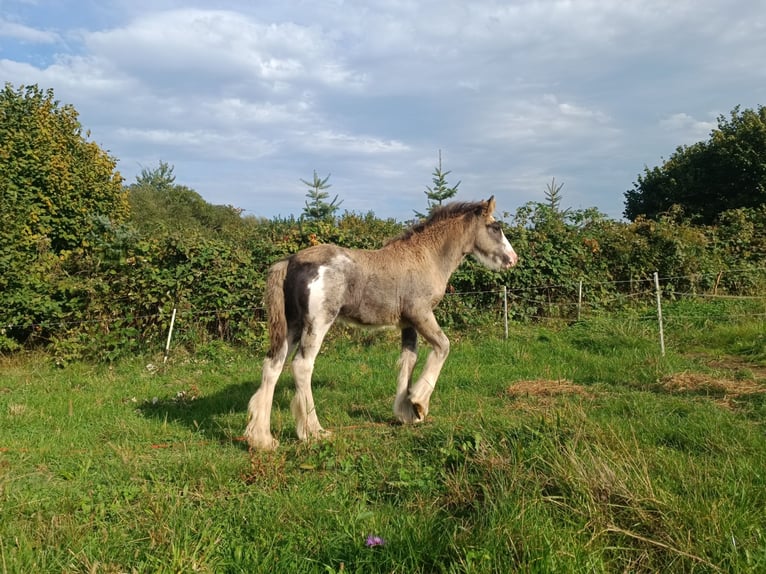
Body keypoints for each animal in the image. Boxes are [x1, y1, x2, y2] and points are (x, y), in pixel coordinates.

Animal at [244, 196, 520, 452]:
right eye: (495, 227)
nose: (513, 259)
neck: (425, 257)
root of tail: (290, 261)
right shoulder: (421, 314)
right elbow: (443, 346)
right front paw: (419, 403)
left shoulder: (408, 323)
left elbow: (408, 360)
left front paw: (406, 412)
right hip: (317, 323)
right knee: (301, 366)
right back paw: (314, 432)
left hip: (292, 326)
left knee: (272, 366)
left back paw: (262, 438)